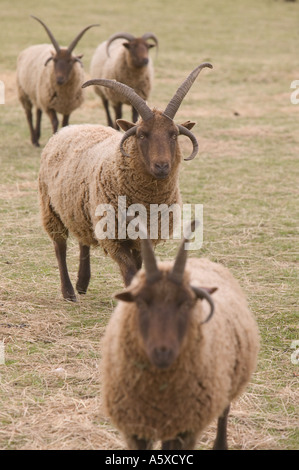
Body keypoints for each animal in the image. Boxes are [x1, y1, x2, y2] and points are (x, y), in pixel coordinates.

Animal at [16, 15, 99, 146]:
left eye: (70, 61)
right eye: (54, 60)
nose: (59, 79)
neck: (63, 94)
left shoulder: (68, 107)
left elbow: (65, 124)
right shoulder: (49, 105)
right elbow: (55, 122)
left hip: (39, 94)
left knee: (38, 111)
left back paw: (37, 138)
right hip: (23, 92)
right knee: (29, 114)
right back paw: (34, 140)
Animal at [38, 63, 213, 302]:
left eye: (173, 134)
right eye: (142, 134)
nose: (162, 166)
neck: (146, 202)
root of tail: (71, 127)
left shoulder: (144, 237)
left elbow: (139, 269)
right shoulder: (114, 237)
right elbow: (130, 272)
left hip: (81, 208)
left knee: (83, 241)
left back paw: (82, 283)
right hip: (50, 207)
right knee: (59, 247)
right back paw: (69, 292)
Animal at [101, 222, 260, 450]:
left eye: (186, 303)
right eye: (140, 302)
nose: (162, 352)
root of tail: (202, 259)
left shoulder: (185, 428)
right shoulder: (135, 429)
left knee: (223, 412)